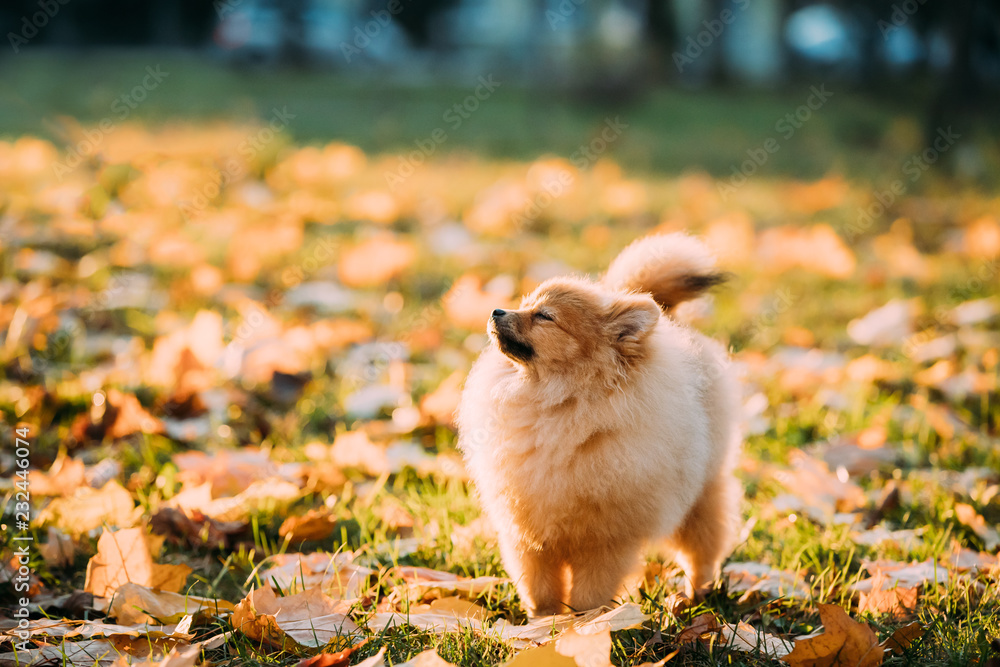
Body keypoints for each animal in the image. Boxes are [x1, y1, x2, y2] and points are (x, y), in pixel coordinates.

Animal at [456, 234, 744, 616]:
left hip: (700, 497)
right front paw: (542, 622)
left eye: (544, 316)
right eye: (524, 304)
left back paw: (695, 595)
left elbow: (589, 593)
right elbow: (539, 587)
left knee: (703, 550)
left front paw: (583, 623)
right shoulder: (527, 531)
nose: (497, 311)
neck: (556, 405)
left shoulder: (604, 540)